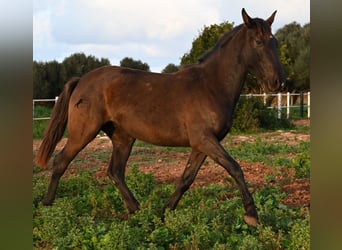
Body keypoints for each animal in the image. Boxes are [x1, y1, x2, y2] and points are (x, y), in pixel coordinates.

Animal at [34, 8, 286, 228]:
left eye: (274, 42)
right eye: (259, 41)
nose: (279, 82)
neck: (211, 85)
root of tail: (82, 80)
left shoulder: (201, 145)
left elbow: (186, 179)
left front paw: (163, 213)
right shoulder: (205, 140)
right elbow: (235, 168)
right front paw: (252, 216)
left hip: (123, 137)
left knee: (115, 171)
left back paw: (137, 211)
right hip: (84, 132)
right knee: (61, 161)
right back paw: (47, 206)